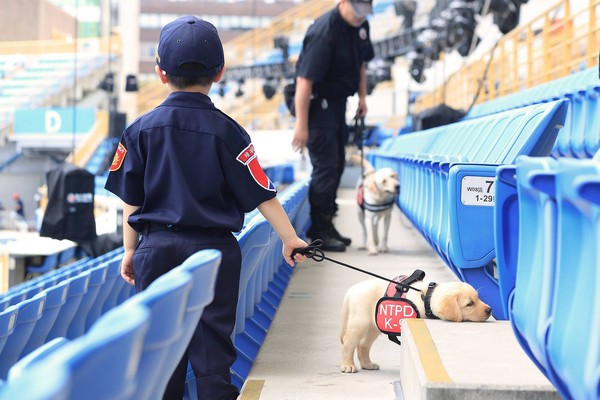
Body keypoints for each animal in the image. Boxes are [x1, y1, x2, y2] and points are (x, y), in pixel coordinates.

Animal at [340, 278, 490, 372]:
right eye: (469, 304)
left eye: (478, 298)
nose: (489, 310)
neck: (427, 299)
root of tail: (352, 289)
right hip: (360, 323)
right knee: (348, 343)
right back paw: (348, 365)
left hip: (374, 326)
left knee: (363, 345)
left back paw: (368, 364)